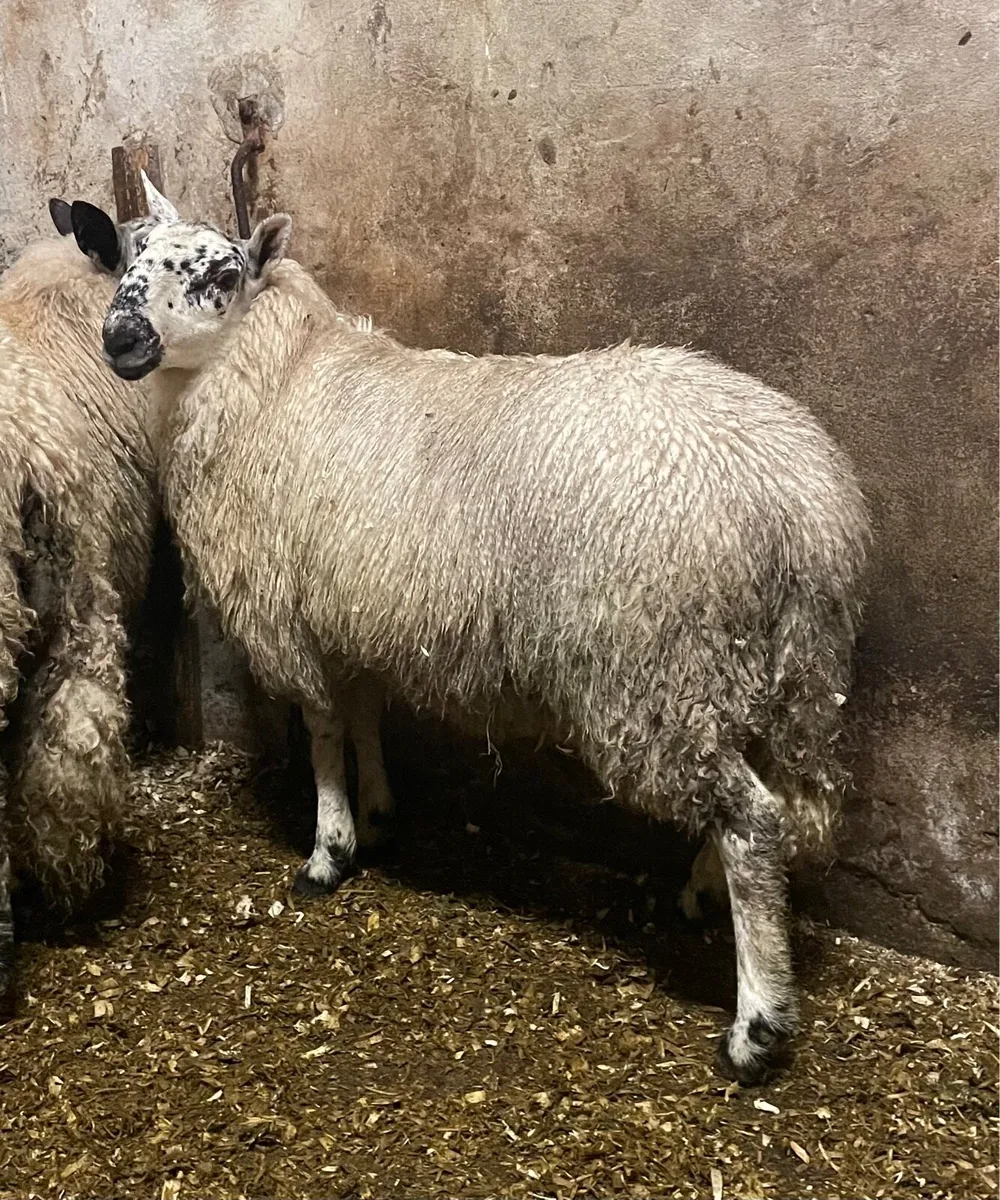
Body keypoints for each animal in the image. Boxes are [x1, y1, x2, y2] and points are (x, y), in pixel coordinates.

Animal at [72, 176, 870, 1084]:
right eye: (128, 257)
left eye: (221, 274)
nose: (121, 338)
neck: (277, 378)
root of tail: (801, 505)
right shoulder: (357, 612)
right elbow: (363, 714)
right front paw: (381, 814)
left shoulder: (292, 616)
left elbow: (321, 731)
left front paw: (329, 851)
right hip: (780, 672)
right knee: (766, 796)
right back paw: (704, 894)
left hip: (658, 672)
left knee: (754, 820)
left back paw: (755, 1028)